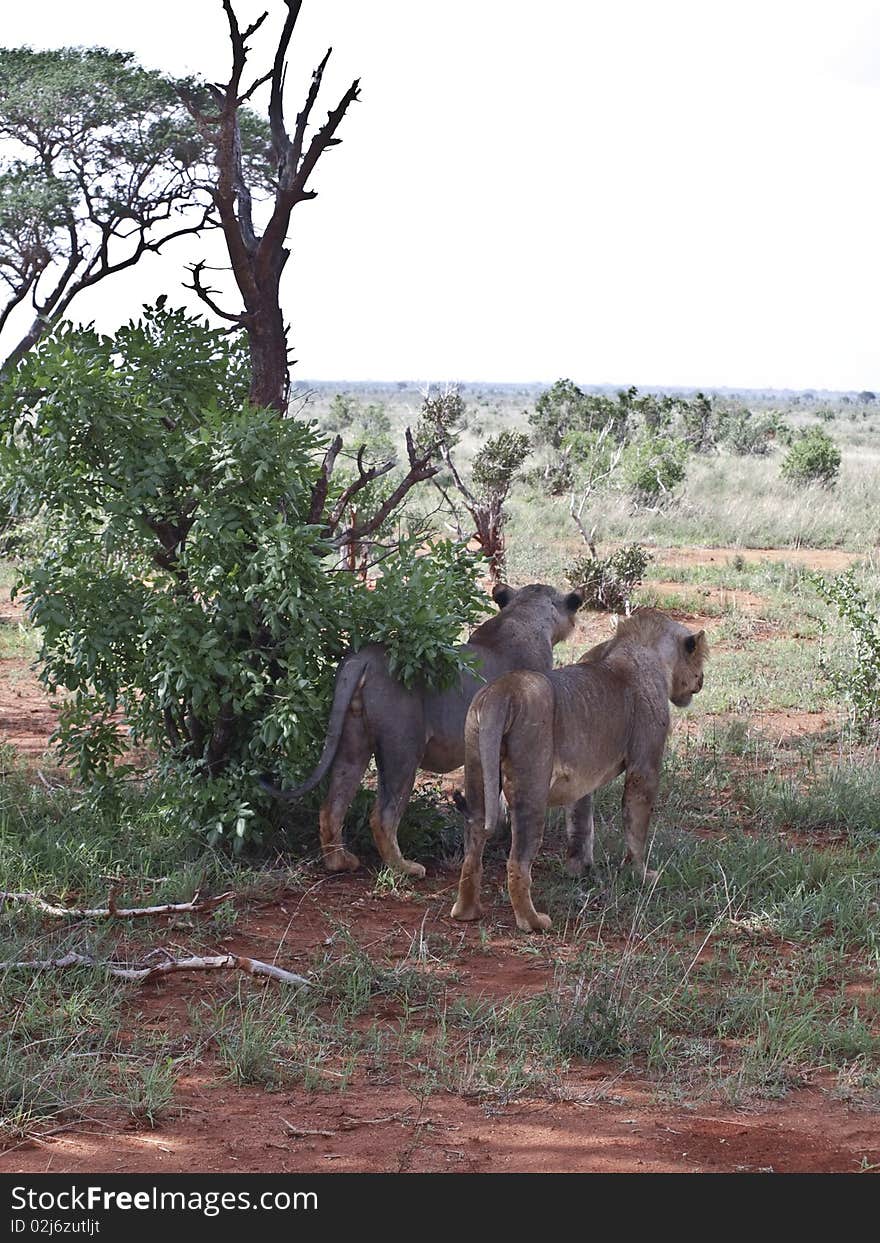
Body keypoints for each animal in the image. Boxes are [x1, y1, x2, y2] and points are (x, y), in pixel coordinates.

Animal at [261, 586, 584, 880]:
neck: (523, 615)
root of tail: (363, 659)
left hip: (353, 742)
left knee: (332, 806)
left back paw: (339, 862)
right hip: (403, 747)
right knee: (382, 816)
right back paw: (405, 868)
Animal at [449, 606, 710, 934]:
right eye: (698, 658)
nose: (702, 681)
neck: (640, 647)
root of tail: (502, 692)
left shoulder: (582, 778)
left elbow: (581, 822)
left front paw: (579, 869)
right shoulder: (644, 766)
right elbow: (636, 826)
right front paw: (641, 874)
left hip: (477, 770)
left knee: (473, 848)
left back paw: (466, 912)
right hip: (531, 787)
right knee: (518, 862)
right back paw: (533, 921)